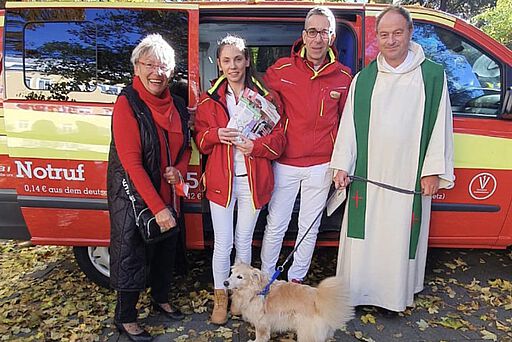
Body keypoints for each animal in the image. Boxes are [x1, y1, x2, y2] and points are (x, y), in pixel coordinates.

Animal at [224, 264, 352, 340]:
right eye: (232, 273)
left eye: (240, 277)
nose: (225, 282)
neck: (256, 290)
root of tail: (318, 298)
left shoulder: (261, 323)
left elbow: (261, 336)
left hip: (306, 333)